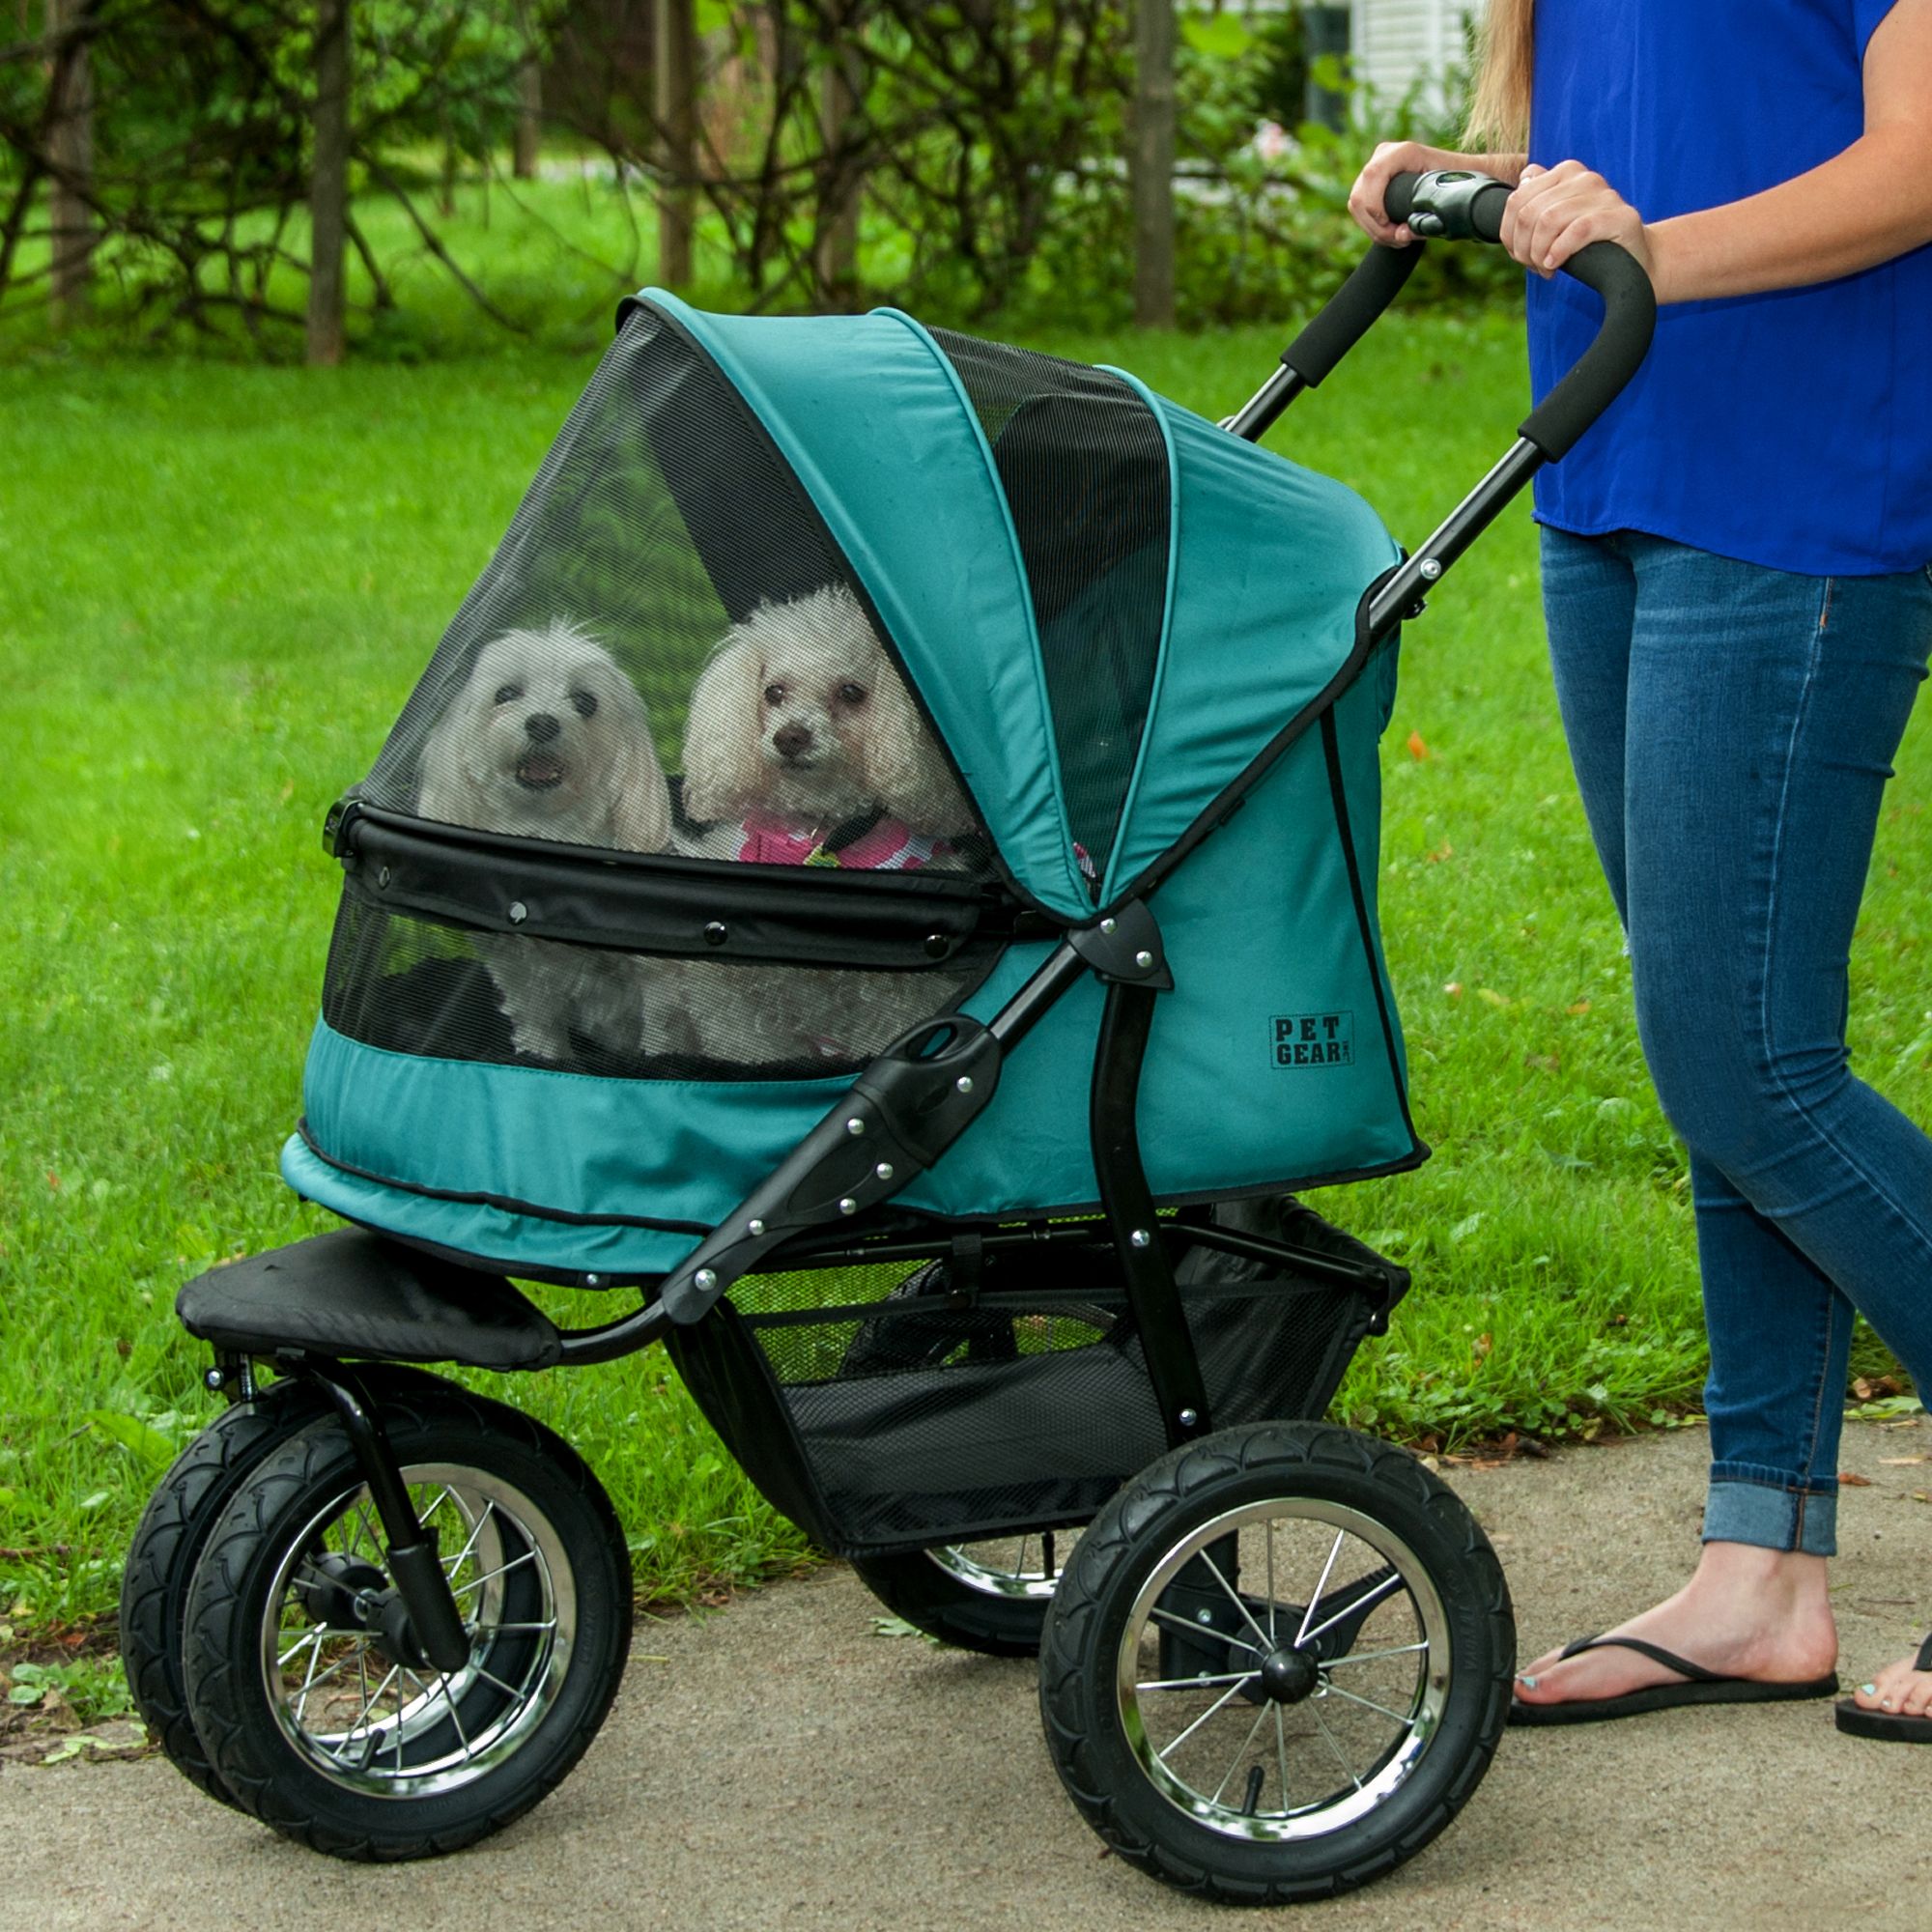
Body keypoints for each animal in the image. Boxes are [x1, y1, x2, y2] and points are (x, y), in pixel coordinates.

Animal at [417, 618, 672, 1066]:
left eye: (585, 702)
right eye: (505, 694)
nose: (542, 723)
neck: (547, 831)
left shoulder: (659, 978)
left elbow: (663, 1030)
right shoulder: (520, 969)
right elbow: (539, 1020)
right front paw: (542, 1057)